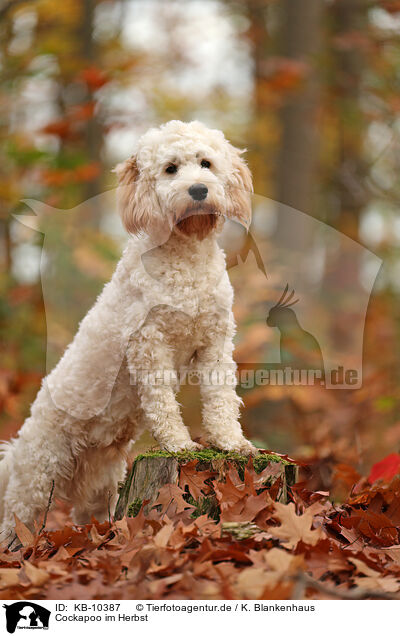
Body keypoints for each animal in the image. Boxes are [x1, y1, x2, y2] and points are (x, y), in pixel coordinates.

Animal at [0, 119, 256, 540]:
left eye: (206, 163)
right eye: (170, 169)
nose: (198, 190)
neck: (186, 256)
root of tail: (19, 444)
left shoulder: (215, 342)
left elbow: (220, 397)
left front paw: (232, 442)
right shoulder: (149, 344)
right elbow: (163, 402)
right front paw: (180, 444)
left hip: (99, 482)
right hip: (37, 477)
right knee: (15, 521)